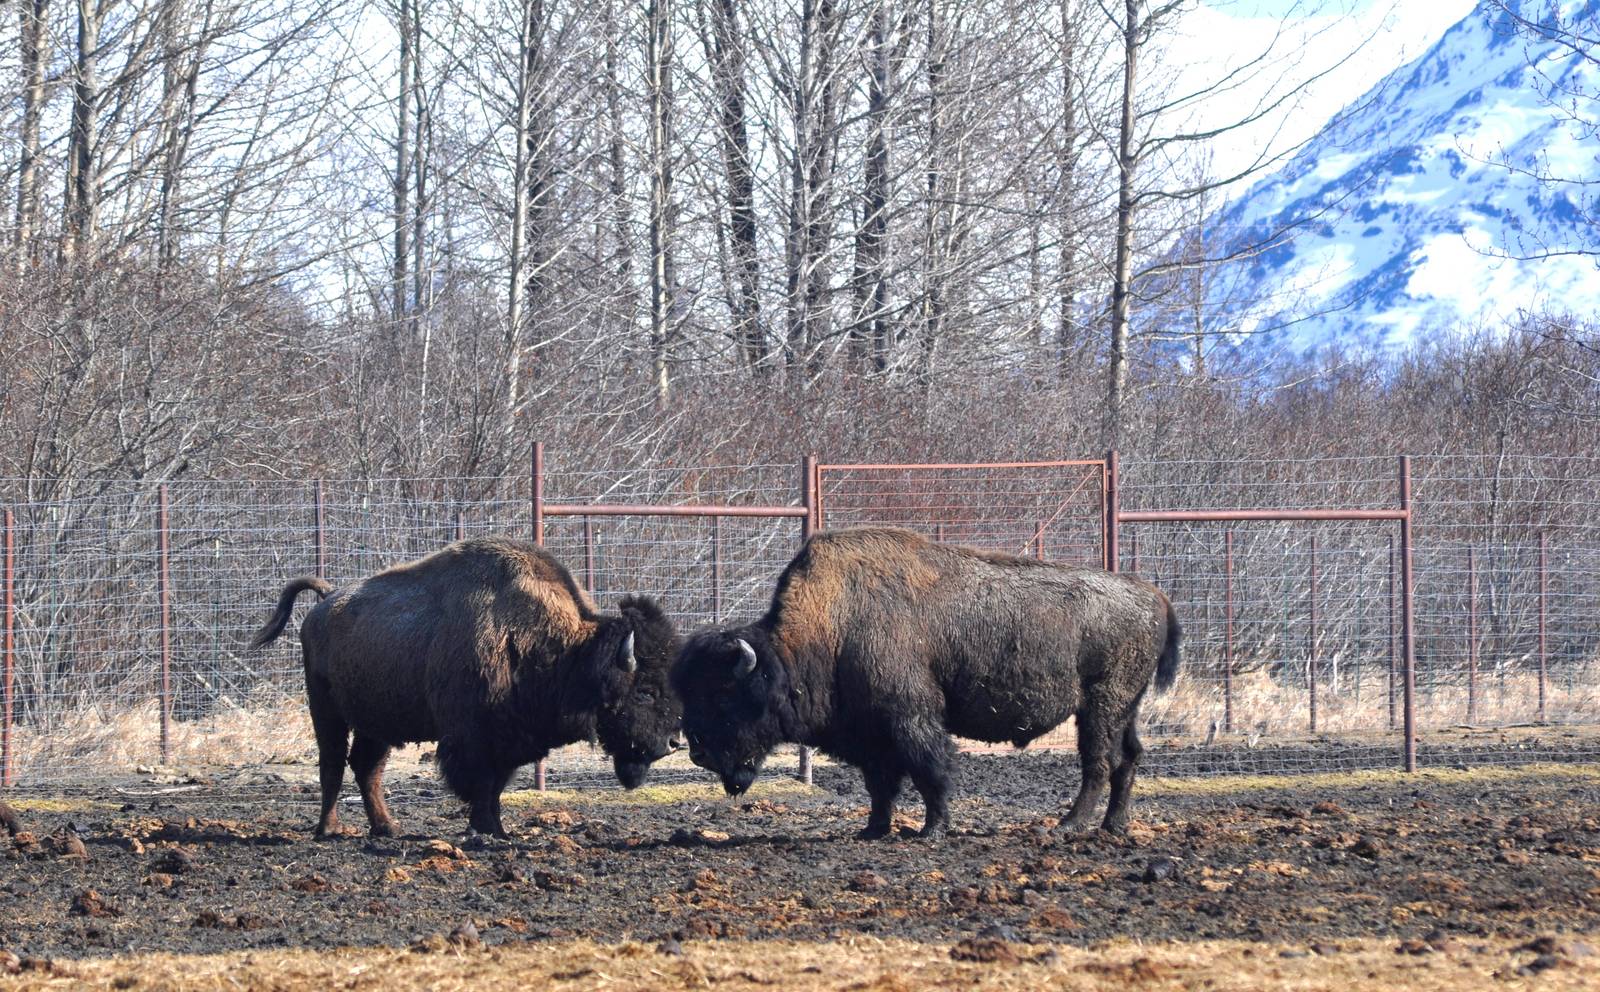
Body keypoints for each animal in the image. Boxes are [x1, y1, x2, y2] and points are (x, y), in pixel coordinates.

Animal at [251, 537, 682, 838]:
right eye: (644, 691)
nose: (673, 743)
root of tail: (325, 602)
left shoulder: (509, 738)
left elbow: (496, 787)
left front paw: (497, 829)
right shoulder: (470, 737)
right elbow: (480, 782)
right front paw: (484, 829)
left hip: (377, 723)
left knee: (366, 767)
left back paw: (387, 828)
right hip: (326, 711)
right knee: (333, 765)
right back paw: (329, 829)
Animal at [672, 526, 1180, 838]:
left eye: (726, 698)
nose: (697, 752)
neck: (831, 627)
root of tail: (1154, 595)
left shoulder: (911, 718)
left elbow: (929, 769)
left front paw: (933, 828)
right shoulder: (871, 736)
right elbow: (881, 784)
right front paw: (873, 829)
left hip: (1100, 705)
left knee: (1099, 762)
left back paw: (1069, 825)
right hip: (1125, 708)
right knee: (1128, 758)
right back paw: (1113, 826)